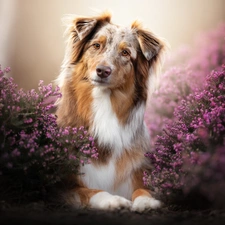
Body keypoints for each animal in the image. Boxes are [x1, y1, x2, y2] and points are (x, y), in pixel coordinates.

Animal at [55, 11, 165, 213]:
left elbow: (142, 189)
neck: (104, 104)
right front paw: (113, 200)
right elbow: (91, 190)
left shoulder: (136, 171)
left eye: (126, 53)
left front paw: (146, 201)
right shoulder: (64, 184)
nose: (103, 71)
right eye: (96, 45)